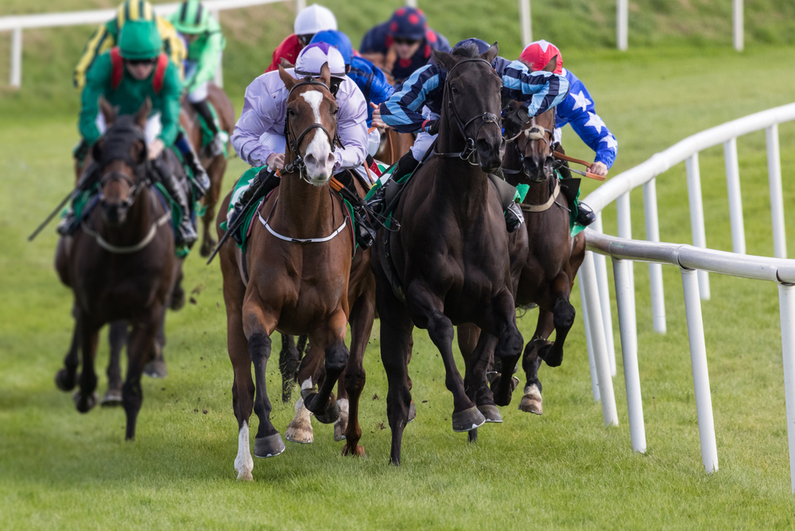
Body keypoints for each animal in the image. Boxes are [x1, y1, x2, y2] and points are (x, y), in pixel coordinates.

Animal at [54, 100, 180, 440]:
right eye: (101, 150)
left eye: (140, 152)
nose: (115, 205)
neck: (124, 244)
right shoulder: (92, 308)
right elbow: (88, 371)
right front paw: (85, 392)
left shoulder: (148, 312)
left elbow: (132, 386)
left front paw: (130, 434)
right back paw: (68, 373)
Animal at [215, 64, 370, 480]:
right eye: (292, 110)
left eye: (334, 108)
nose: (319, 161)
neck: (303, 231)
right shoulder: (258, 307)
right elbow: (259, 351)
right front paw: (267, 437)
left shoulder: (333, 311)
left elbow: (335, 359)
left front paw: (323, 406)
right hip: (232, 301)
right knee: (242, 386)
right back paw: (244, 462)